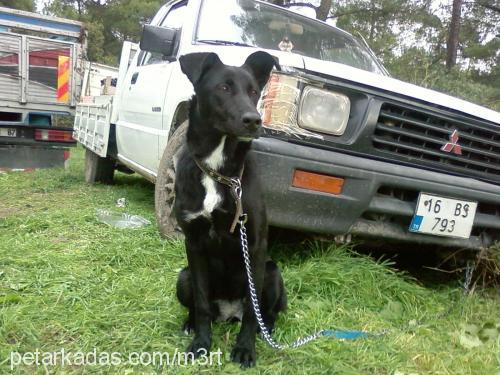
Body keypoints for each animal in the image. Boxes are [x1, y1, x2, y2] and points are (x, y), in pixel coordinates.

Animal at [175, 51, 288, 368]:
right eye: (223, 88)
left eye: (254, 91)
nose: (254, 120)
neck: (218, 172)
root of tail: (228, 313)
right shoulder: (193, 243)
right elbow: (201, 303)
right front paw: (201, 343)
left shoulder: (256, 247)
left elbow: (253, 311)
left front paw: (245, 349)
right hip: (182, 277)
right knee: (199, 305)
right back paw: (190, 323)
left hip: (273, 272)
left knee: (264, 312)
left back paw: (266, 330)